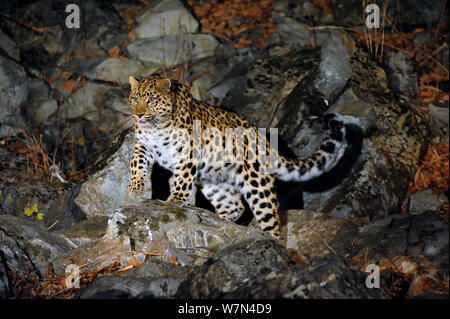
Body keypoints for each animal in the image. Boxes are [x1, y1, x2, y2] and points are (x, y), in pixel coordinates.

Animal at [128, 75, 346, 240]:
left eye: (151, 100)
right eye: (134, 99)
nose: (138, 115)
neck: (156, 127)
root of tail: (264, 141)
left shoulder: (187, 153)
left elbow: (182, 179)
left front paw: (175, 200)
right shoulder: (143, 145)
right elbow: (136, 163)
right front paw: (136, 187)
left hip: (257, 184)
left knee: (271, 219)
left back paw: (270, 244)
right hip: (215, 182)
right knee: (235, 206)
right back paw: (220, 222)